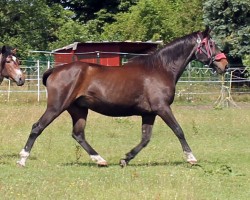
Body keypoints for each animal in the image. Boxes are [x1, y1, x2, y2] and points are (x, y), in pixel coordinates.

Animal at [17, 28, 229, 167]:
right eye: (212, 44)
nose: (224, 65)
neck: (160, 69)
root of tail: (54, 70)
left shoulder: (149, 113)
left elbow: (145, 138)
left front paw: (125, 159)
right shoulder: (162, 108)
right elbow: (178, 130)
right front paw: (191, 158)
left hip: (78, 109)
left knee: (78, 134)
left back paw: (100, 160)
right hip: (57, 107)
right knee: (37, 127)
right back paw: (22, 159)